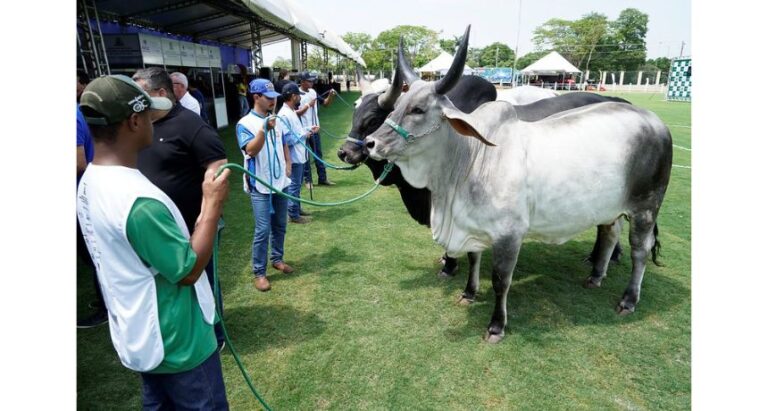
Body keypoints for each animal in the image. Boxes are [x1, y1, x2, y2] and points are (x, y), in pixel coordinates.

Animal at [364, 25, 668, 344]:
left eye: (418, 110)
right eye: (395, 107)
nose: (370, 142)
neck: (470, 157)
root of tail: (654, 121)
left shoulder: (509, 234)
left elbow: (501, 280)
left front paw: (496, 325)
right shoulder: (473, 223)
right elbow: (473, 259)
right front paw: (469, 293)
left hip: (646, 208)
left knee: (640, 250)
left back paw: (629, 300)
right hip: (610, 207)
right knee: (610, 233)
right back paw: (596, 276)